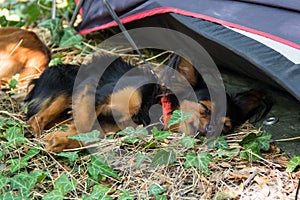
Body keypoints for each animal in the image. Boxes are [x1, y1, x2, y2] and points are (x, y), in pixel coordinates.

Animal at [24, 52, 272, 152]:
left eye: (226, 127)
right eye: (204, 108)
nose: (211, 131)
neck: (148, 109)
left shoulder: (114, 126)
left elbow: (92, 133)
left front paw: (64, 140)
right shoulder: (94, 91)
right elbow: (85, 123)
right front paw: (60, 138)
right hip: (68, 85)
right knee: (36, 118)